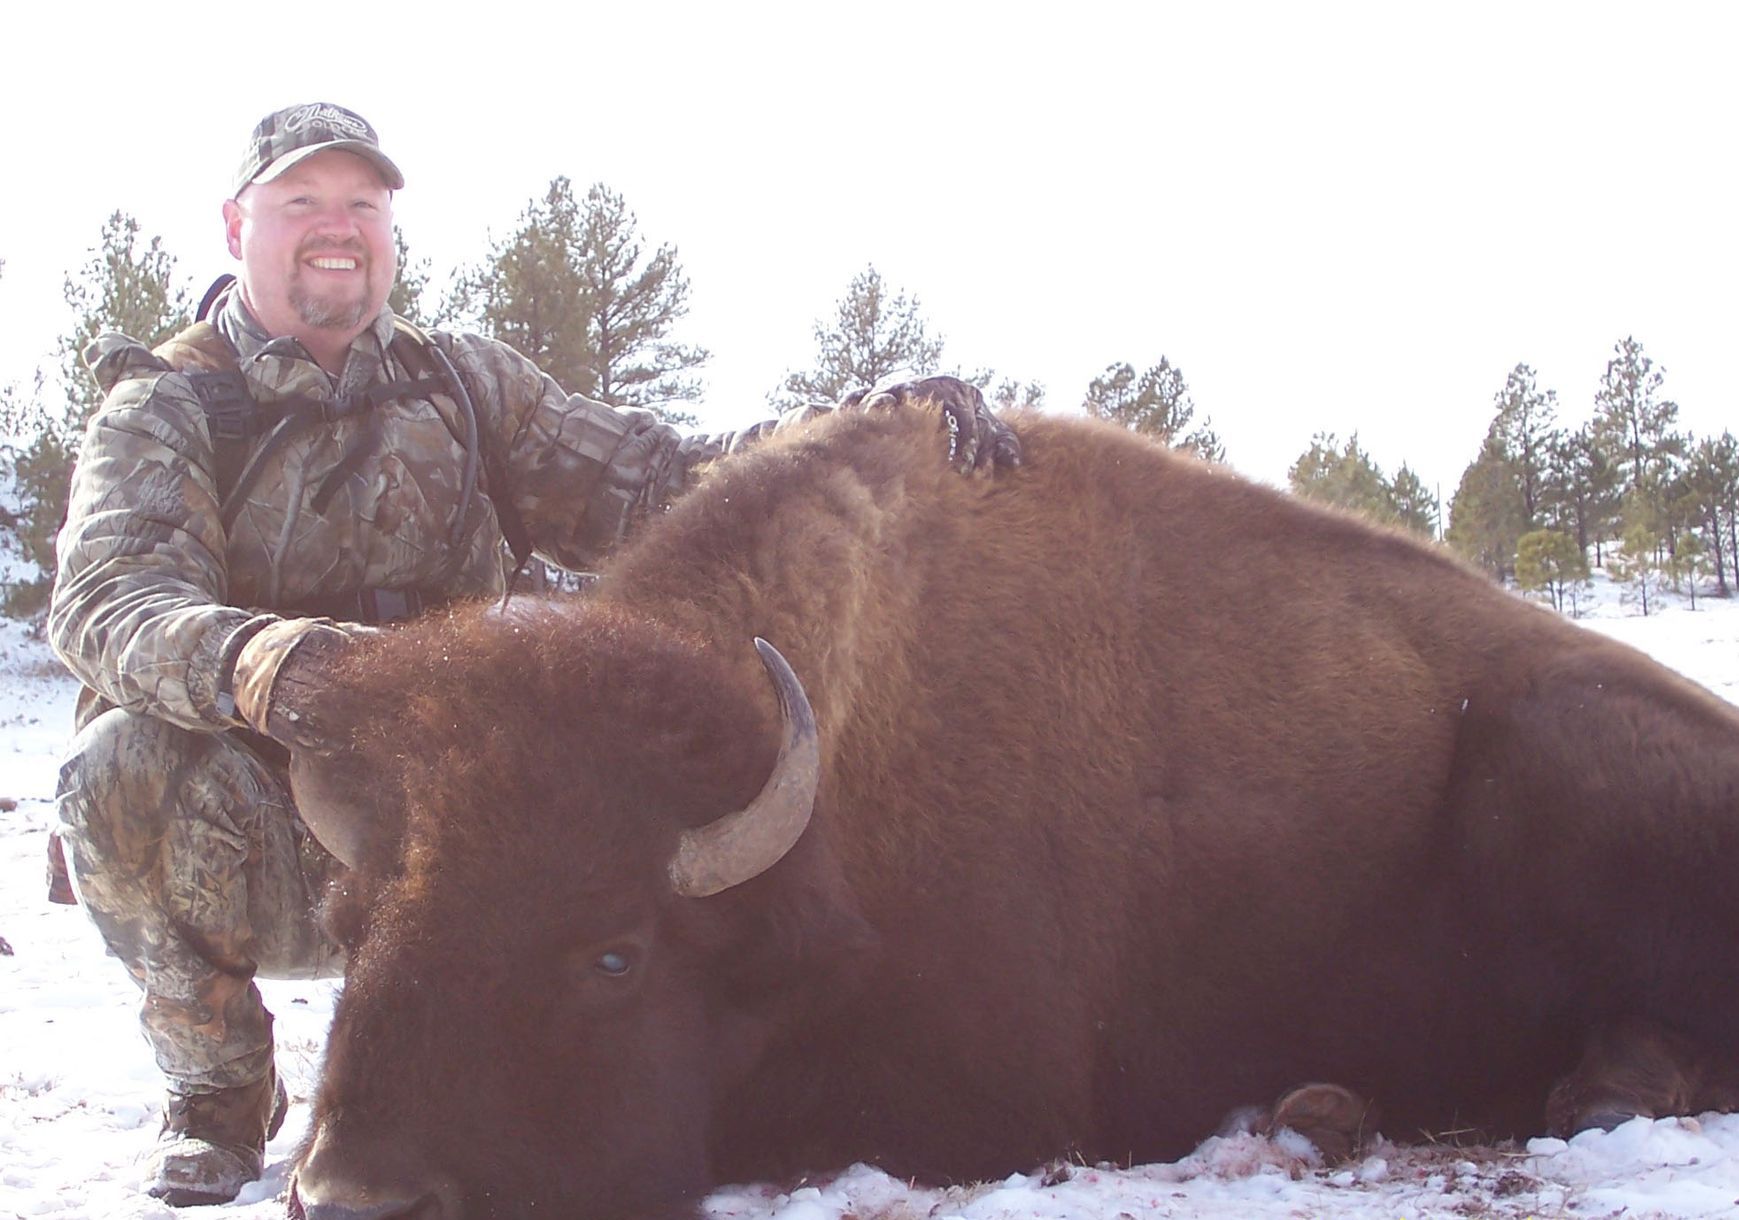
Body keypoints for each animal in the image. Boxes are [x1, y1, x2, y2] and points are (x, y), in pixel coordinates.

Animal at [286, 389, 1739, 1220]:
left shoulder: (983, 1105)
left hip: (1553, 756)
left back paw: (1573, 1091)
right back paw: (1320, 1108)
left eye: (612, 952)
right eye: (349, 929)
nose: (350, 1197)